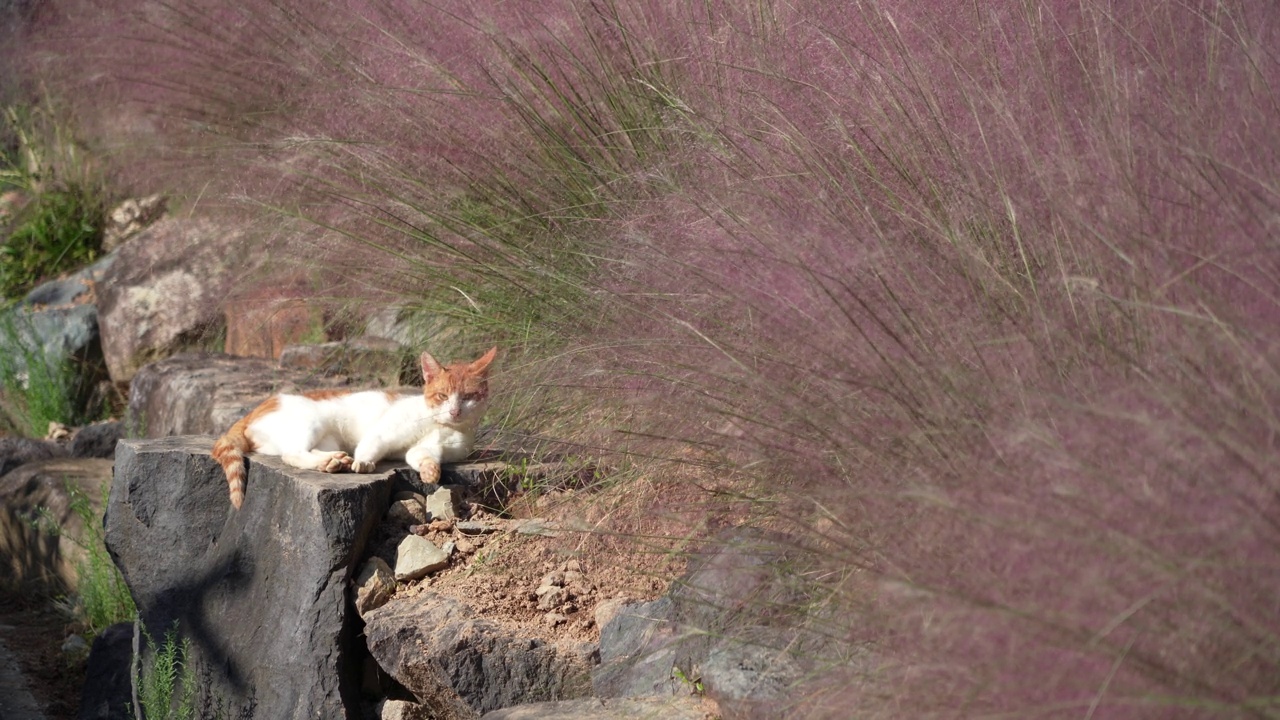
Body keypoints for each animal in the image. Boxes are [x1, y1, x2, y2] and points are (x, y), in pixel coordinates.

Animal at [209, 345, 494, 504]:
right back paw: (333, 462)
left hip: (326, 437)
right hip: (310, 422)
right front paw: (364, 463)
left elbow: (422, 456)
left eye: (468, 397)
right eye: (443, 396)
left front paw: (430, 472)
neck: (442, 425)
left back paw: (334, 461)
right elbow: (370, 446)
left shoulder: (428, 448)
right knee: (292, 454)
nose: (455, 411)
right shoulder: (384, 431)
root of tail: (252, 411)